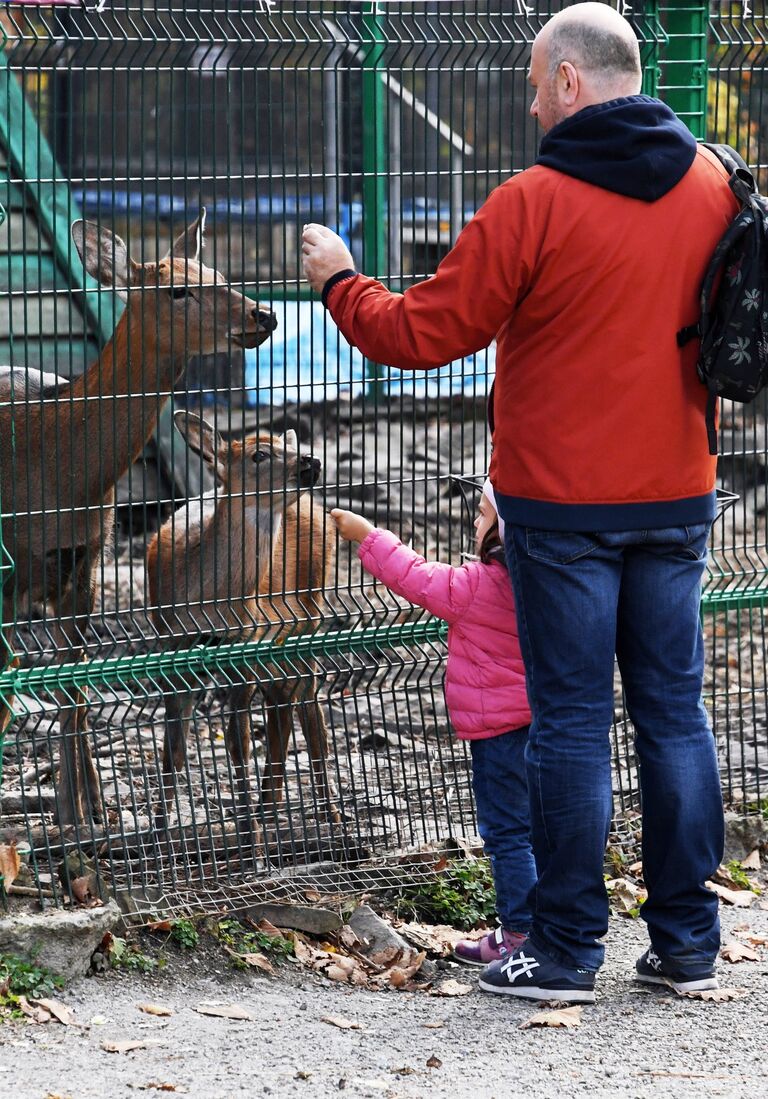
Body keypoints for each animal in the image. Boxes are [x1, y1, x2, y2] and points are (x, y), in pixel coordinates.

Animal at [0, 207, 276, 826]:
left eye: (216, 271)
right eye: (178, 290)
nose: (262, 313)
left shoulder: (85, 563)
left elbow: (75, 689)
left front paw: (83, 814)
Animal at [147, 413, 338, 830]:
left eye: (283, 447)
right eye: (259, 455)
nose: (310, 459)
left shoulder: (246, 643)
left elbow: (238, 742)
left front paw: (249, 828)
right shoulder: (171, 645)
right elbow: (173, 742)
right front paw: (160, 826)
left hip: (310, 611)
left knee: (306, 697)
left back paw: (323, 810)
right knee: (284, 699)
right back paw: (273, 803)